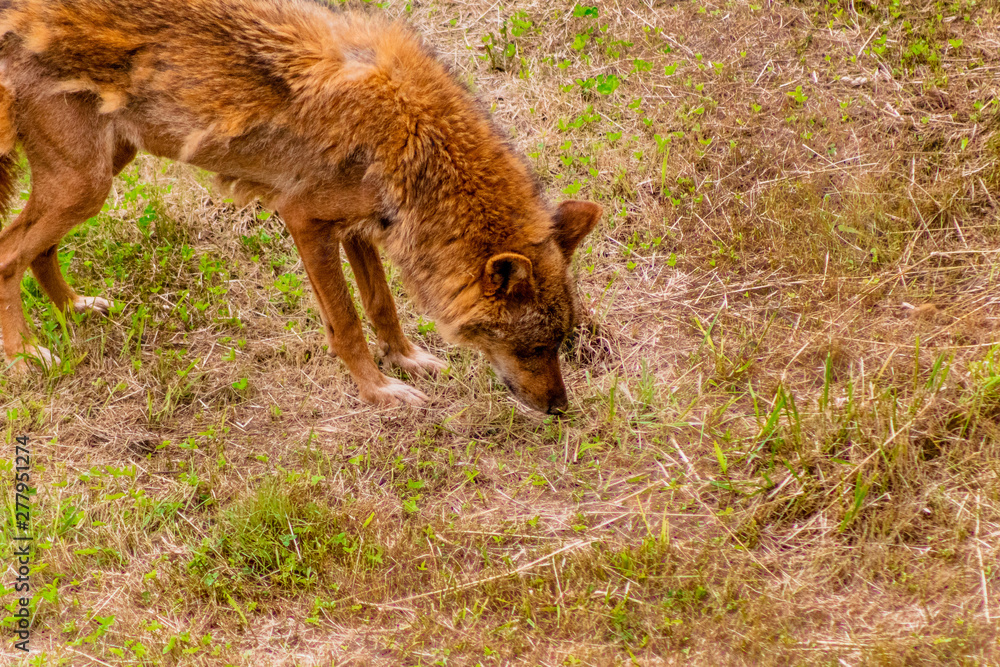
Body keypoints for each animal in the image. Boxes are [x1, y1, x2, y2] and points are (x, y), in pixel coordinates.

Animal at [0, 0, 601, 414]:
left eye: (560, 343)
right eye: (531, 348)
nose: (559, 409)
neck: (414, 139)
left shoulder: (358, 227)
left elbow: (382, 304)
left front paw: (408, 360)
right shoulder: (305, 220)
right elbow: (347, 323)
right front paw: (379, 392)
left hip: (101, 172)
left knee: (37, 250)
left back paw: (74, 309)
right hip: (86, 185)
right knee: (9, 254)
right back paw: (26, 356)